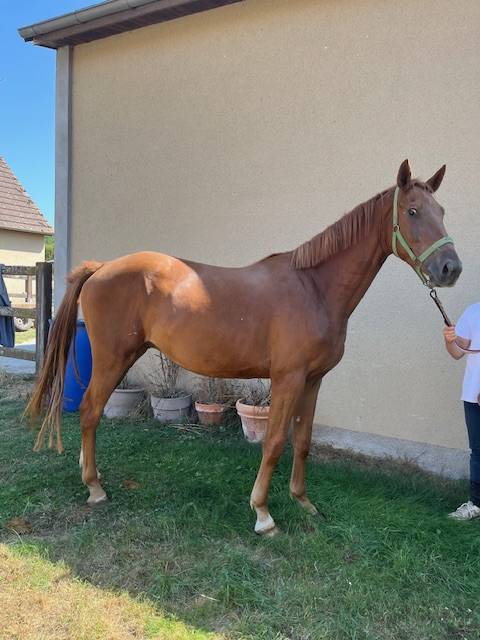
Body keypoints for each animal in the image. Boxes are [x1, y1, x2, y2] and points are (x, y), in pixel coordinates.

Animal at [27, 159, 461, 536]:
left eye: (441, 210)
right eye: (412, 211)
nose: (450, 269)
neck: (314, 289)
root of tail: (101, 268)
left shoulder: (314, 380)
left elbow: (303, 441)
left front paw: (304, 503)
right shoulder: (287, 379)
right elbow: (275, 442)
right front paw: (263, 514)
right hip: (112, 359)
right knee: (89, 412)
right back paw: (95, 487)